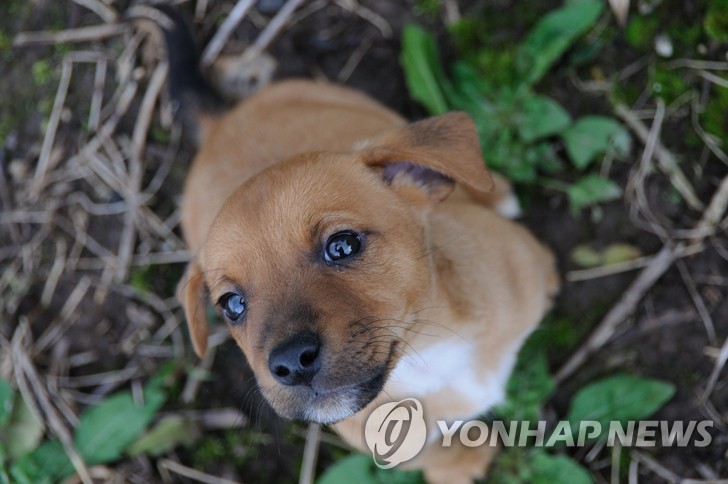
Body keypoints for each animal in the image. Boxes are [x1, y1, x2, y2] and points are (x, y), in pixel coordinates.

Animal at [159, 8, 556, 484]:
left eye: (342, 246)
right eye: (232, 305)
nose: (290, 364)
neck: (427, 356)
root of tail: (219, 125)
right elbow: (437, 454)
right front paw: (467, 464)